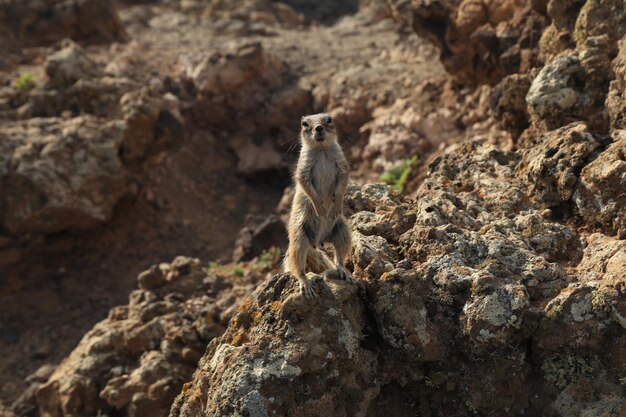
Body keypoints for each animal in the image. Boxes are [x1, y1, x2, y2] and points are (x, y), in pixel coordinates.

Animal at [284, 112, 354, 298]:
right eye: (304, 123)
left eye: (329, 119)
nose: (319, 128)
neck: (322, 149)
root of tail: (316, 243)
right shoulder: (303, 167)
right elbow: (305, 184)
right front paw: (320, 208)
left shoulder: (342, 164)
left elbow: (343, 181)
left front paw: (335, 205)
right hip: (299, 239)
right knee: (298, 268)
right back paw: (306, 283)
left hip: (343, 230)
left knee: (339, 257)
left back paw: (343, 272)